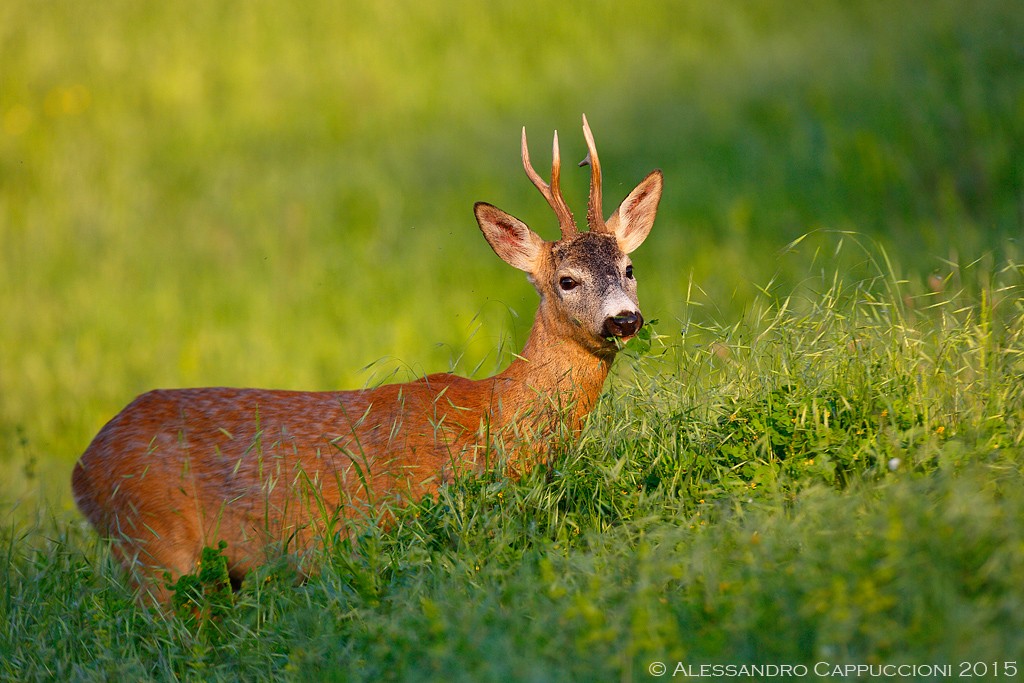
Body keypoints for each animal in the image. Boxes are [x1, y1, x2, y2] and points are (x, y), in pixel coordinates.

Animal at [72, 116, 663, 602]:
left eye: (629, 268)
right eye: (567, 280)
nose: (624, 319)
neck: (494, 413)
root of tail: (82, 470)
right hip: (155, 541)